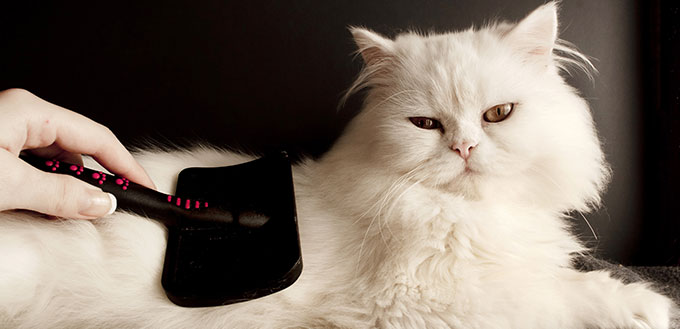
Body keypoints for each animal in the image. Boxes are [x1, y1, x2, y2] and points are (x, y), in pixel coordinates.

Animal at [0, 3, 676, 328]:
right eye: (427, 126)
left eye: (498, 115)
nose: (463, 149)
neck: (460, 215)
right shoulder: (431, 305)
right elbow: (557, 295)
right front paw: (652, 309)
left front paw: (646, 310)